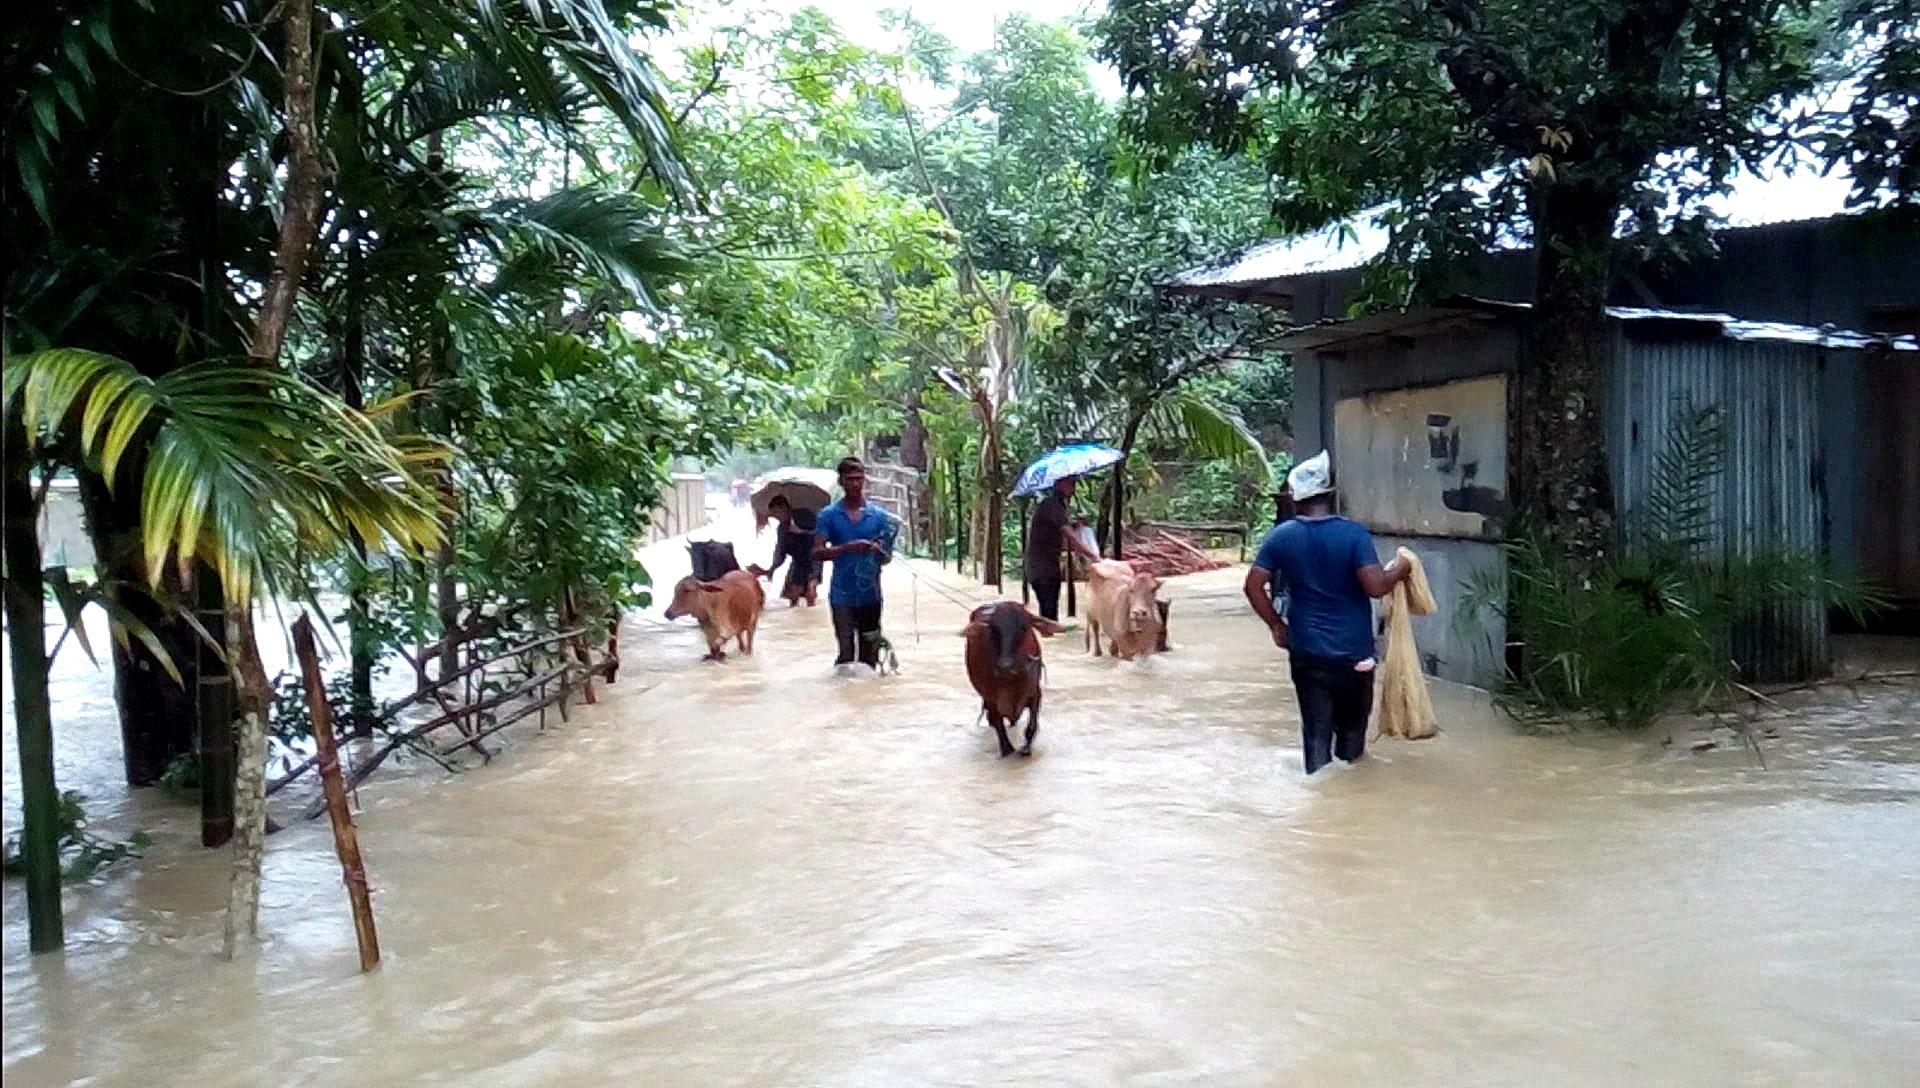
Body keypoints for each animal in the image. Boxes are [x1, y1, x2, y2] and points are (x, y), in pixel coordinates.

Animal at [960, 606, 1067, 756]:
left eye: (1024, 628)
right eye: (993, 629)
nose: (1005, 666)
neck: (1011, 681)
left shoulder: (1035, 693)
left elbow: (1032, 725)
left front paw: (1026, 748)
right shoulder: (991, 698)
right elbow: (998, 724)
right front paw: (1007, 749)